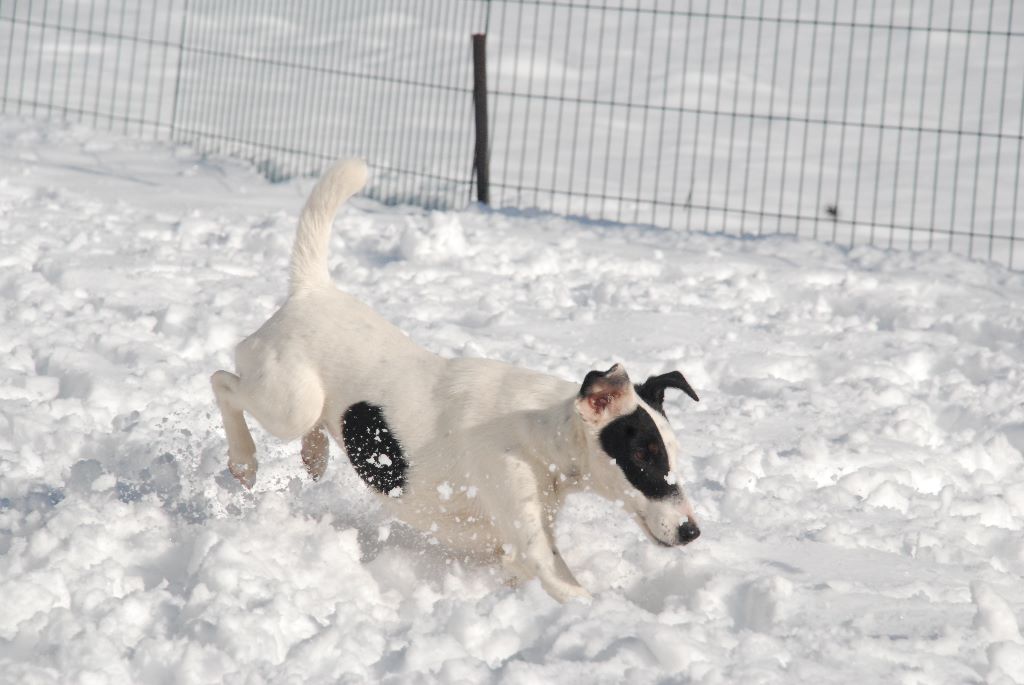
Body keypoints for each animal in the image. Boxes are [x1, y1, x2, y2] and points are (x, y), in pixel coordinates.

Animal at [209, 158, 704, 597]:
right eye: (642, 456)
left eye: (672, 455)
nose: (692, 531)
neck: (541, 432)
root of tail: (311, 290)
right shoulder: (530, 542)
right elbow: (575, 592)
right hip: (289, 402)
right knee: (222, 380)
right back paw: (244, 460)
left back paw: (314, 453)